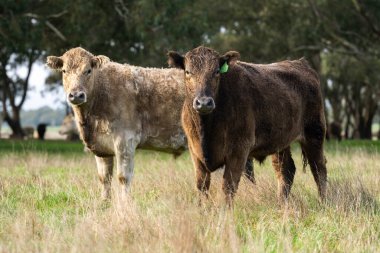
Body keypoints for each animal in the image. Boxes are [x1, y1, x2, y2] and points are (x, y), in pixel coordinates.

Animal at [46, 46, 255, 199]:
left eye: (88, 70)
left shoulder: (125, 140)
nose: (76, 95)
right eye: (64, 70)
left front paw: (124, 209)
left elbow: (123, 178)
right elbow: (104, 179)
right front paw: (104, 205)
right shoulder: (102, 149)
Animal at [168, 46, 328, 204]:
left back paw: (323, 202)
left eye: (217, 71)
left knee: (319, 168)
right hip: (280, 141)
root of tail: (299, 63)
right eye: (188, 72)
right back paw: (282, 204)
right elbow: (202, 187)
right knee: (285, 170)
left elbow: (228, 187)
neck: (206, 129)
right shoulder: (195, 152)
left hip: (315, 133)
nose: (203, 102)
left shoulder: (239, 150)